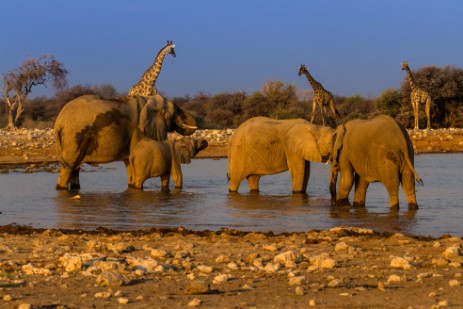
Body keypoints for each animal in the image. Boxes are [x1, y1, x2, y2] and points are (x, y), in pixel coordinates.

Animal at [54, 92, 198, 189]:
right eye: (174, 113)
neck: (148, 100)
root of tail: (58, 122)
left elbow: (129, 161)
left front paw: (131, 186)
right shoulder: (138, 130)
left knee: (74, 168)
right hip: (74, 136)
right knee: (69, 167)